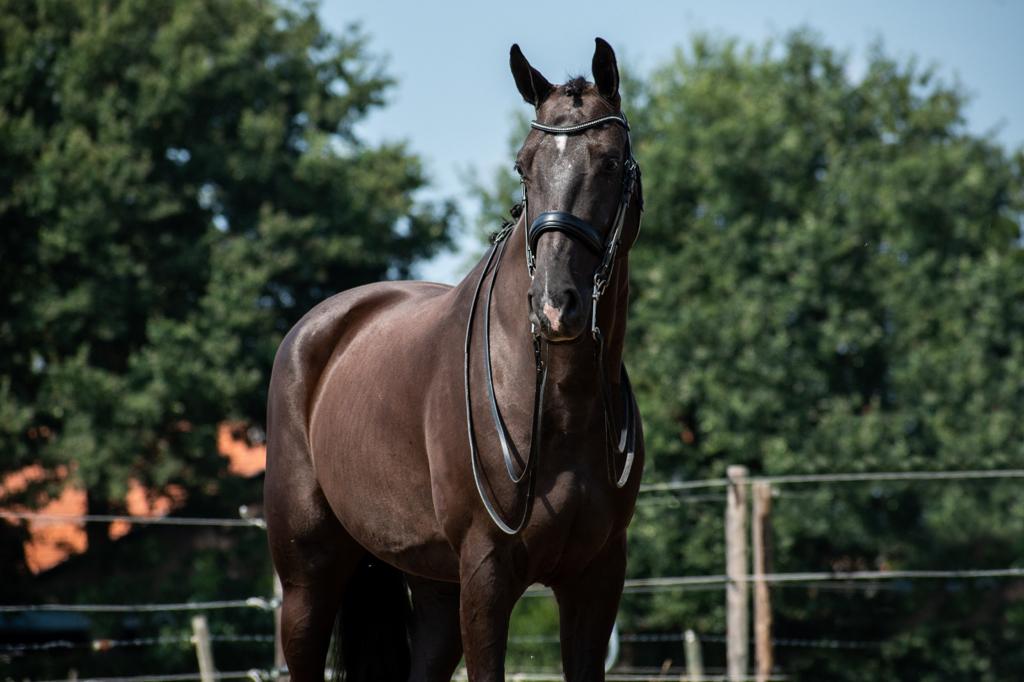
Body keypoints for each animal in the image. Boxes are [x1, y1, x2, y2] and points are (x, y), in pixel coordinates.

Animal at [264, 37, 645, 682]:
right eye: (523, 165)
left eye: (613, 163)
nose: (555, 305)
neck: (556, 402)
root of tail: (319, 328)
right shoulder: (486, 574)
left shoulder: (597, 577)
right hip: (308, 581)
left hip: (433, 584)